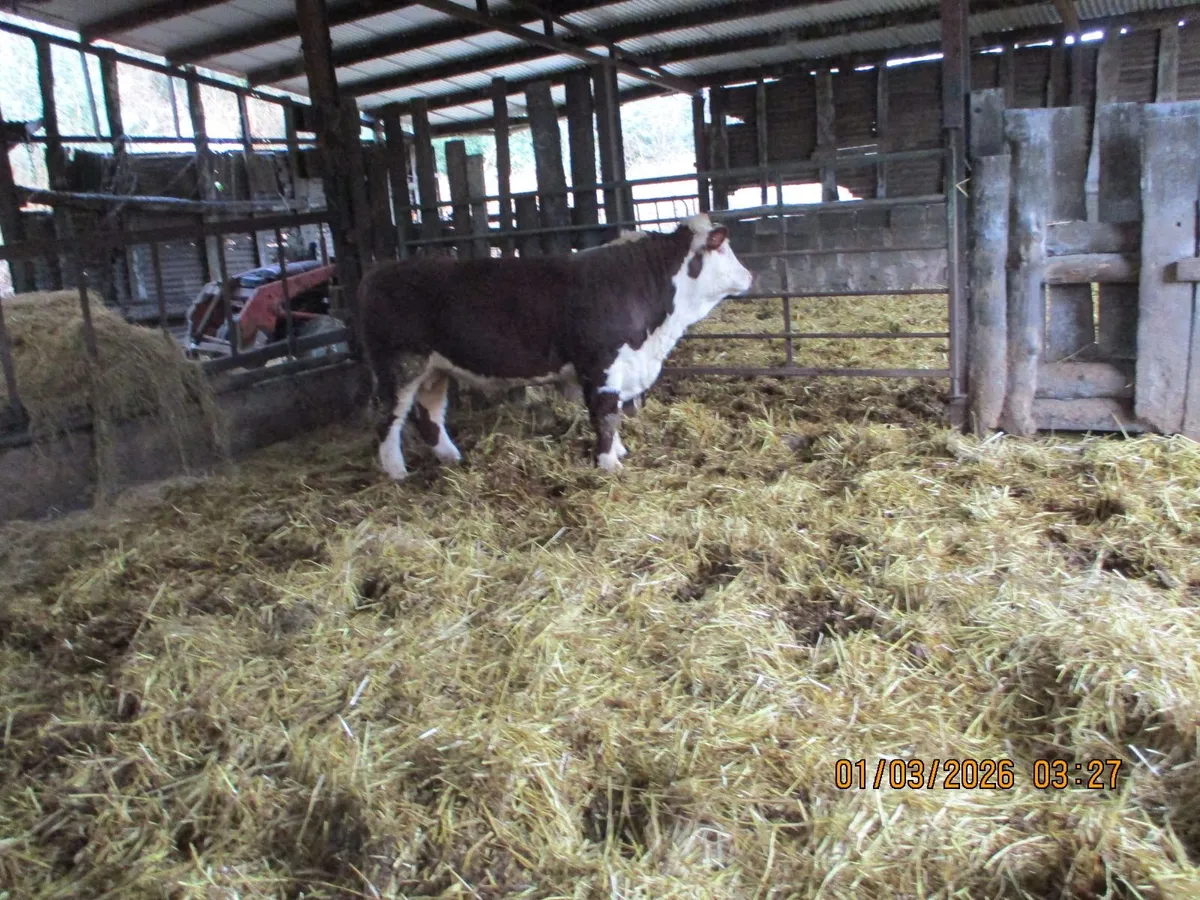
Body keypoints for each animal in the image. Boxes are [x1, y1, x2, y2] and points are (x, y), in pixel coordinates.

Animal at [358, 213, 754, 481]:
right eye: (724, 248)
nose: (749, 276)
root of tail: (379, 272)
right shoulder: (601, 363)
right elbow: (605, 415)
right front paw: (609, 463)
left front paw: (619, 451)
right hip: (399, 365)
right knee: (388, 419)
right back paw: (396, 472)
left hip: (434, 369)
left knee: (429, 416)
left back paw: (451, 458)